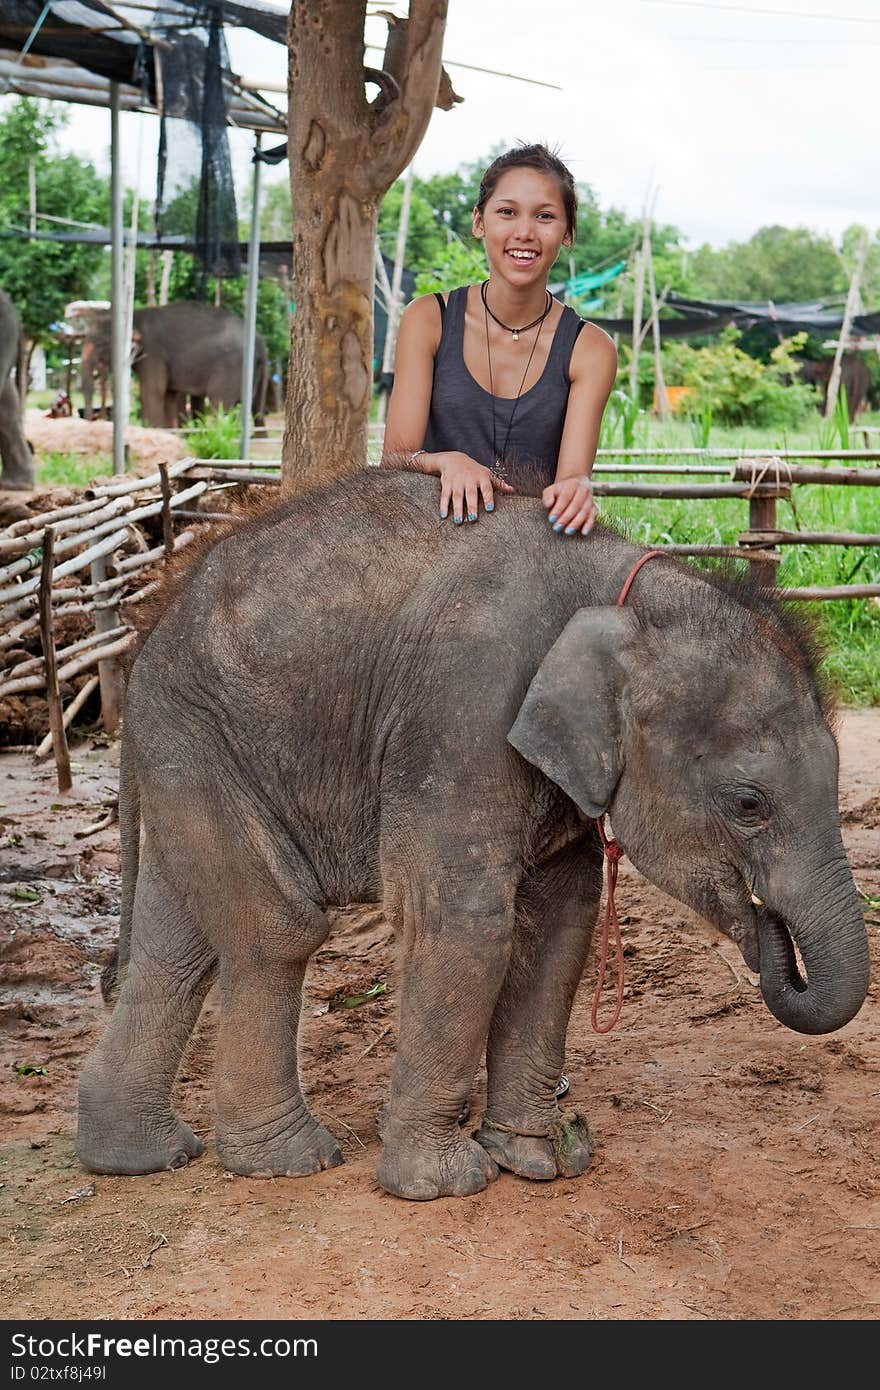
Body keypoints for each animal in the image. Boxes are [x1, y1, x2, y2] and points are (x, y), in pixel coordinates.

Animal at [77, 467, 873, 1195]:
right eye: (748, 804)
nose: (770, 933)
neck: (627, 590)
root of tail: (146, 634)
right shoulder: (463, 709)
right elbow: (466, 923)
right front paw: (442, 1183)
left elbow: (562, 924)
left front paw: (536, 1161)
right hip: (199, 739)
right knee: (275, 931)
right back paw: (289, 1161)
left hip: (192, 758)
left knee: (177, 950)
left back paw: (139, 1158)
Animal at [82, 304, 268, 428]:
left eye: (100, 343)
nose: (91, 419)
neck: (134, 315)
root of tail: (259, 340)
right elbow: (168, 394)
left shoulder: (154, 353)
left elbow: (153, 390)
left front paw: (152, 429)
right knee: (253, 406)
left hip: (231, 369)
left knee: (221, 403)